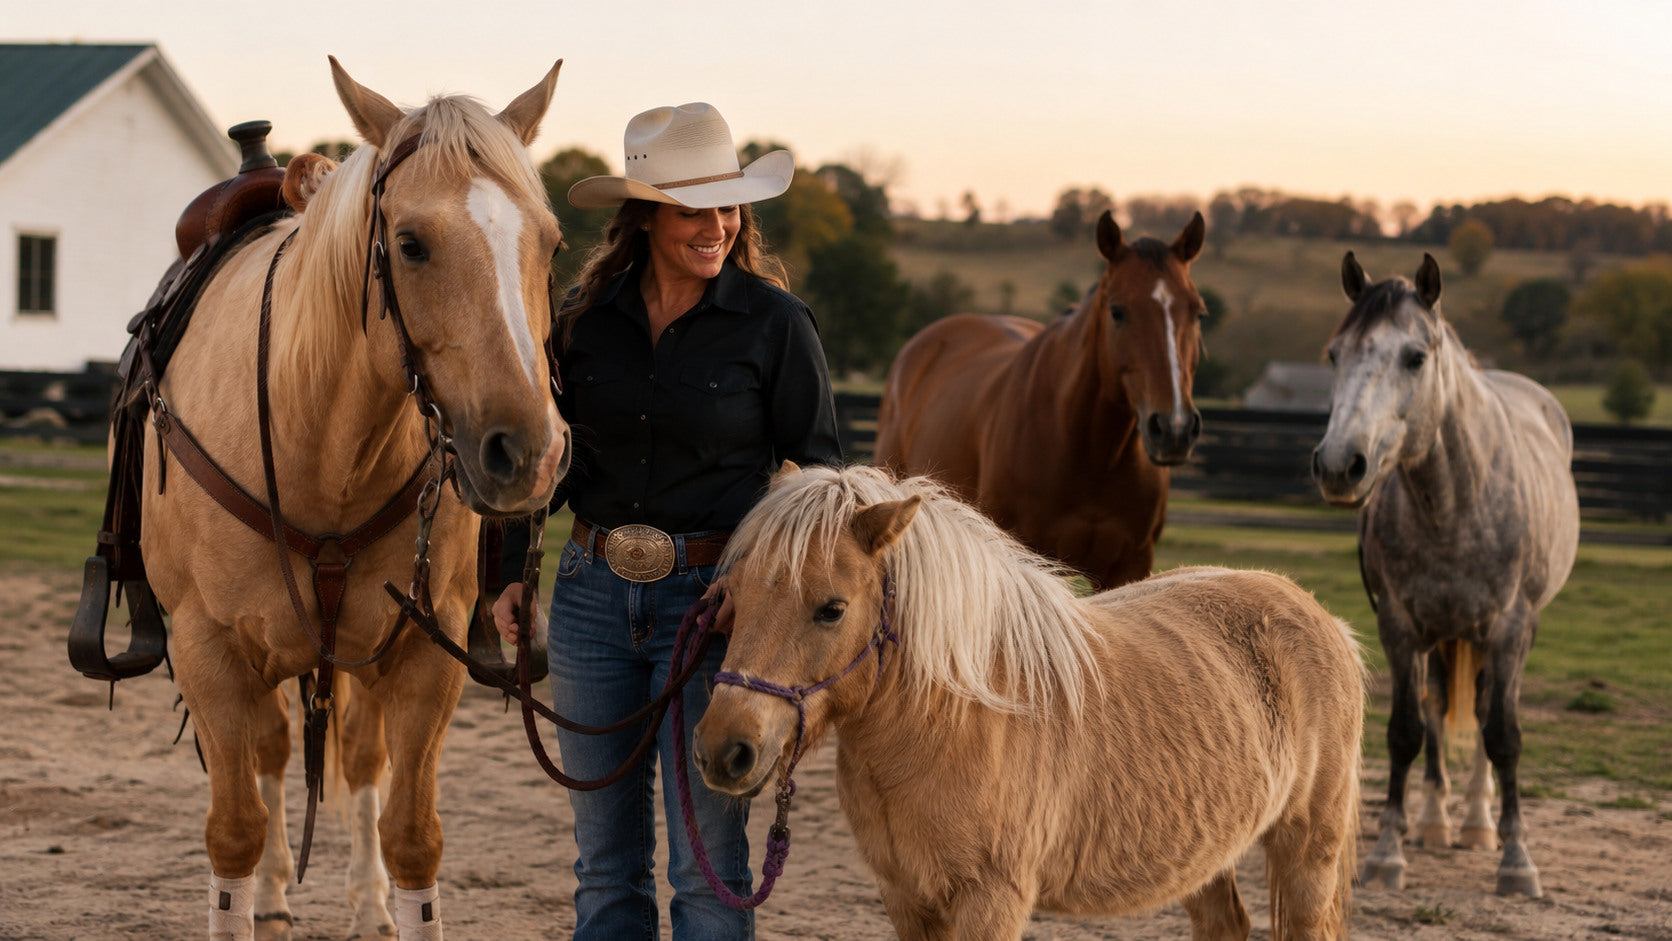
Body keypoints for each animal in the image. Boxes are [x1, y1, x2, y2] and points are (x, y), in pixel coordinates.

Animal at [138, 58, 569, 939]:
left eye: (550, 243)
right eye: (410, 244)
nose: (529, 453)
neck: (320, 443)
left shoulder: (424, 653)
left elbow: (411, 834)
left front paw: (386, 896)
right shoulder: (207, 650)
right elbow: (234, 830)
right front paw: (253, 891)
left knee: (351, 760)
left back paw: (364, 902)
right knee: (271, 760)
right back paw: (272, 892)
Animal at [693, 462, 1364, 940]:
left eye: (831, 609)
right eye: (733, 596)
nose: (724, 751)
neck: (953, 724)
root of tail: (1323, 616)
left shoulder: (992, 901)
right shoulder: (906, 900)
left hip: (1308, 852)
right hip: (1205, 852)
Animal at [1311, 252, 1579, 899]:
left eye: (1415, 357)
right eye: (1335, 354)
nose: (1338, 465)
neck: (1454, 503)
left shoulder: (1509, 629)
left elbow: (1502, 734)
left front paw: (1518, 861)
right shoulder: (1400, 626)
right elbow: (1406, 731)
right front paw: (1387, 852)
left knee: (1484, 712)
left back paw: (1482, 826)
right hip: (1441, 635)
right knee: (1438, 711)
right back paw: (1434, 823)